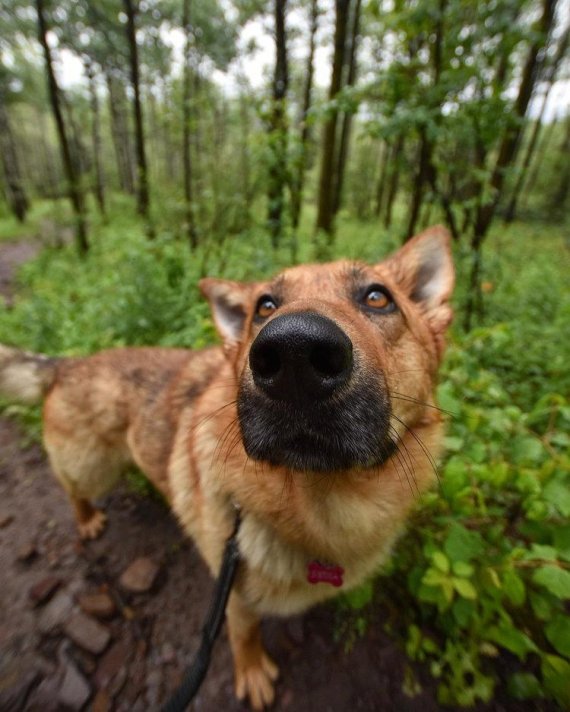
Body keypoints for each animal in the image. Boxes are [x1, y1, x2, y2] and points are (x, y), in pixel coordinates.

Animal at [0, 227, 452, 708]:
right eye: (265, 306)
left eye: (378, 298)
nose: (294, 352)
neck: (322, 504)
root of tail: (68, 363)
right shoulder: (232, 590)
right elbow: (244, 633)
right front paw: (252, 672)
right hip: (91, 467)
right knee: (72, 488)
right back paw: (86, 518)